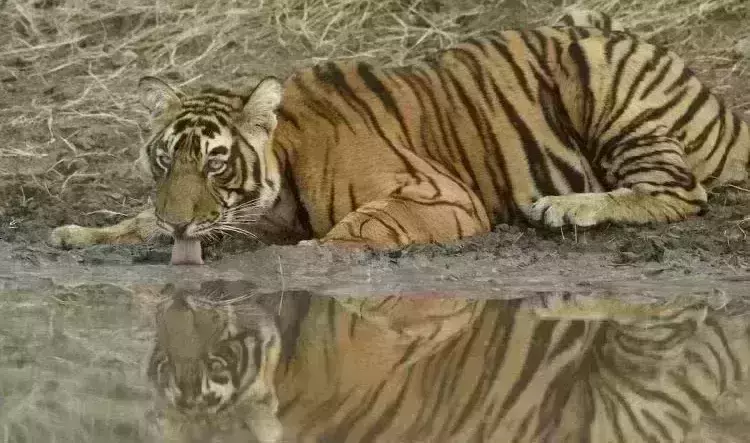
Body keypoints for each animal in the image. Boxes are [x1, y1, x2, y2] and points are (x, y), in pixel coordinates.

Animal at [49, 11, 750, 264]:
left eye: (217, 164)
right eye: (164, 161)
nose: (178, 226)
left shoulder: (439, 194)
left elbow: (366, 223)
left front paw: (314, 253)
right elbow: (139, 218)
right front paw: (79, 233)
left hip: (604, 78)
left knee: (680, 191)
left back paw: (566, 208)